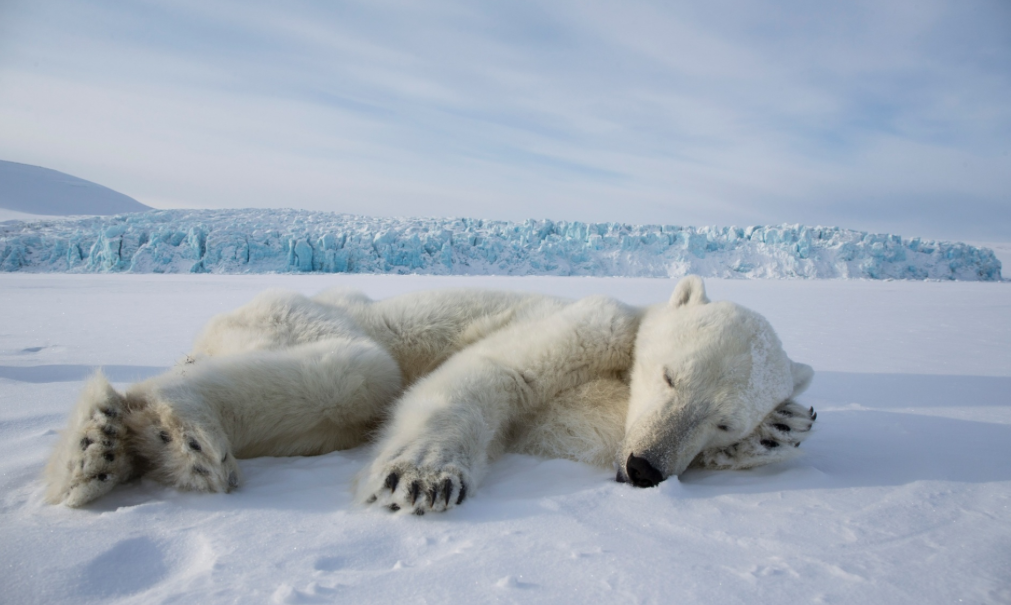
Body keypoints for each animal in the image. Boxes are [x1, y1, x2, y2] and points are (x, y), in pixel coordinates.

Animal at [44, 276, 815, 513]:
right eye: (670, 375)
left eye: (721, 420)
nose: (644, 468)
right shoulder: (597, 323)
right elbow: (493, 375)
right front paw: (421, 478)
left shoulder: (598, 412)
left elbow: (572, 427)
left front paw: (783, 426)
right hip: (296, 314)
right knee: (360, 370)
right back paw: (167, 432)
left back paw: (107, 454)